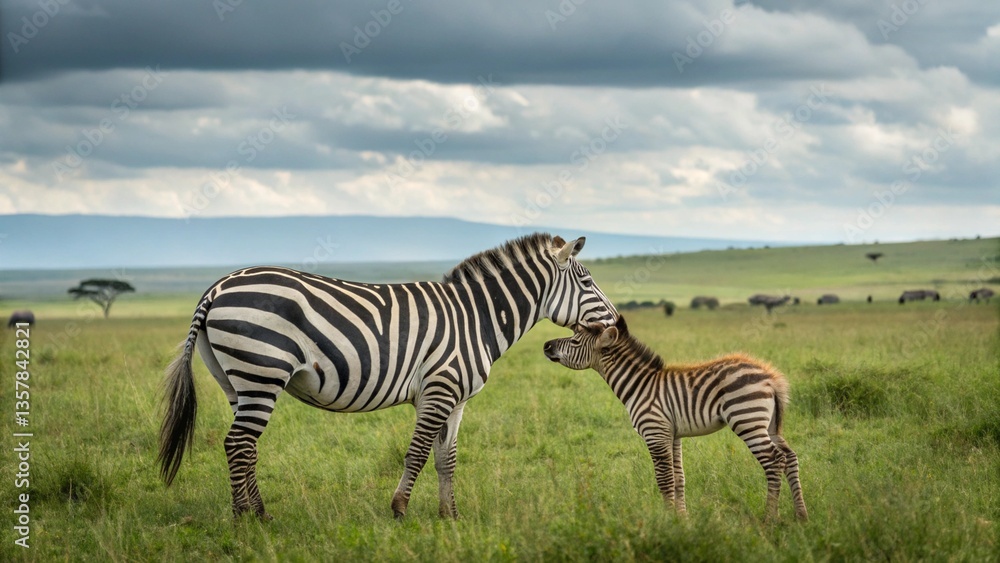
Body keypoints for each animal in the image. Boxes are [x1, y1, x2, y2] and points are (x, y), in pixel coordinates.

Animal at [158, 233, 618, 520]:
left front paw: (450, 517)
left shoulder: (456, 398)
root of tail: (217, 287)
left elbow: (446, 459)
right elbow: (417, 453)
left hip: (238, 381)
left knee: (245, 447)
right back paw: (246, 520)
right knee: (238, 444)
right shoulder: (438, 388)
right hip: (261, 372)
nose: (616, 323)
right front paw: (399, 509)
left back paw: (259, 513)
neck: (477, 317)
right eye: (587, 281)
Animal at [542, 316, 808, 521]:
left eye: (575, 341)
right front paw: (682, 519)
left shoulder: (655, 432)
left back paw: (769, 518)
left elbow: (664, 480)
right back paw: (801, 516)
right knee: (790, 457)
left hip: (747, 420)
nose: (545, 345)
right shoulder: (673, 434)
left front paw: (669, 523)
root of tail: (770, 378)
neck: (639, 386)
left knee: (774, 460)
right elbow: (679, 479)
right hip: (770, 425)